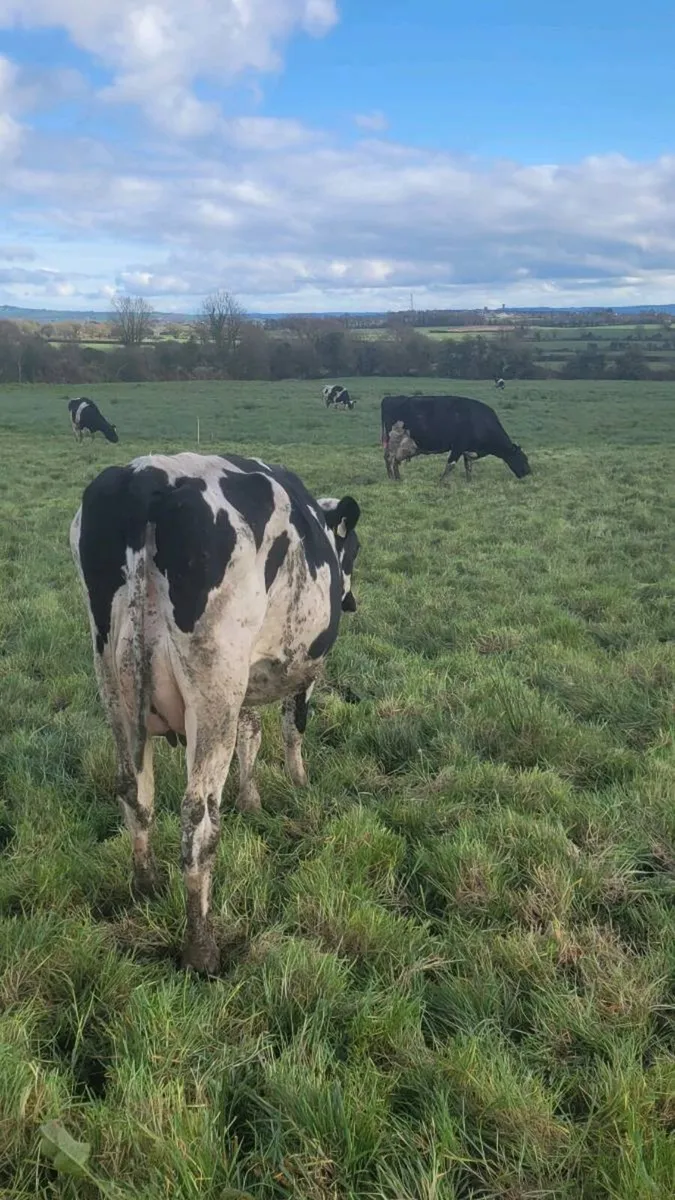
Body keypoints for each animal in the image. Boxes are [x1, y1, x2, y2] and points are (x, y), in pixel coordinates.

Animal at [70, 452, 361, 975]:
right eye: (354, 551)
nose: (350, 600)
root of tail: (148, 479)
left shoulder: (246, 685)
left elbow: (252, 733)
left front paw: (251, 799)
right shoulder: (303, 673)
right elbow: (292, 728)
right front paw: (299, 784)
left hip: (113, 682)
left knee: (134, 789)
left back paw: (145, 888)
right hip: (213, 690)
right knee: (198, 815)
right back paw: (201, 948)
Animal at [381, 394, 531, 483]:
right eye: (523, 459)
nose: (528, 472)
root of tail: (389, 398)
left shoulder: (468, 449)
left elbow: (468, 466)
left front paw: (469, 482)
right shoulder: (458, 446)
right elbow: (450, 465)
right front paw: (442, 482)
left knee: (395, 460)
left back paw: (398, 478)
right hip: (394, 440)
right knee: (389, 458)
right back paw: (391, 478)